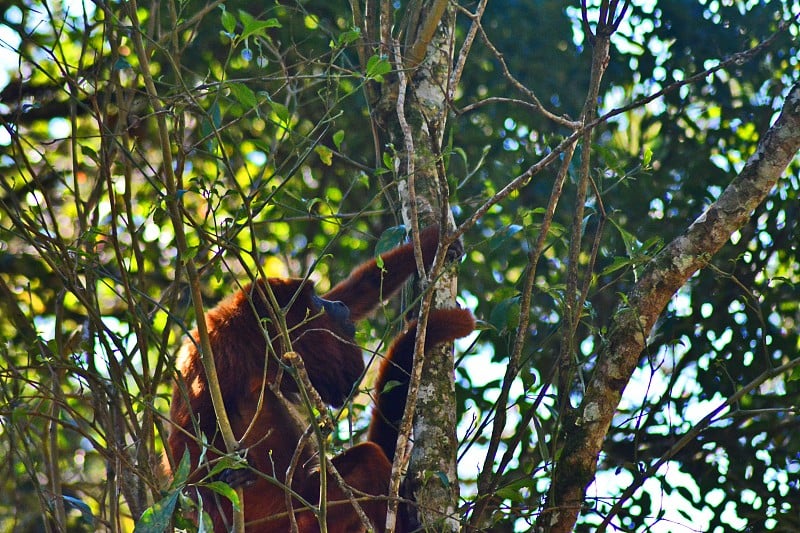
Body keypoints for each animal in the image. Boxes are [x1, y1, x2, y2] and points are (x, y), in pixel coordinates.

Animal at [165, 222, 472, 528]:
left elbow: (360, 290)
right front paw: (237, 477)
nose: (336, 304)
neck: (254, 339)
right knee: (367, 458)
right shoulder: (215, 357)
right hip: (299, 514)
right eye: (314, 297)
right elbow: (186, 441)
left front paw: (430, 241)